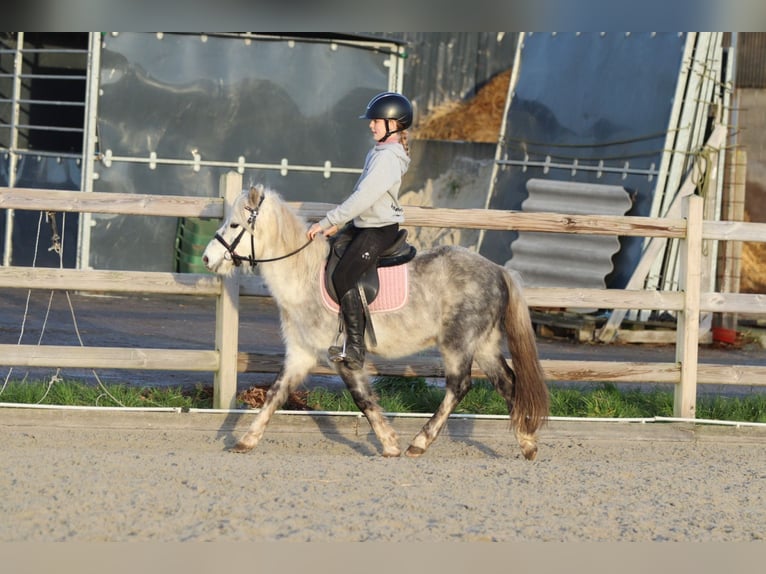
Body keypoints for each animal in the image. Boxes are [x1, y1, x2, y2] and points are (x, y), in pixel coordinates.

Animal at [202, 184, 549, 460]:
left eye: (234, 224)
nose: (207, 258)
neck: (304, 276)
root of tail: (499, 270)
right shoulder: (300, 353)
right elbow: (275, 394)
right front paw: (246, 441)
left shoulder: (343, 356)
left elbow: (363, 399)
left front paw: (390, 444)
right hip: (484, 344)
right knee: (508, 383)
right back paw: (528, 444)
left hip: (458, 343)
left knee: (459, 386)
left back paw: (419, 443)